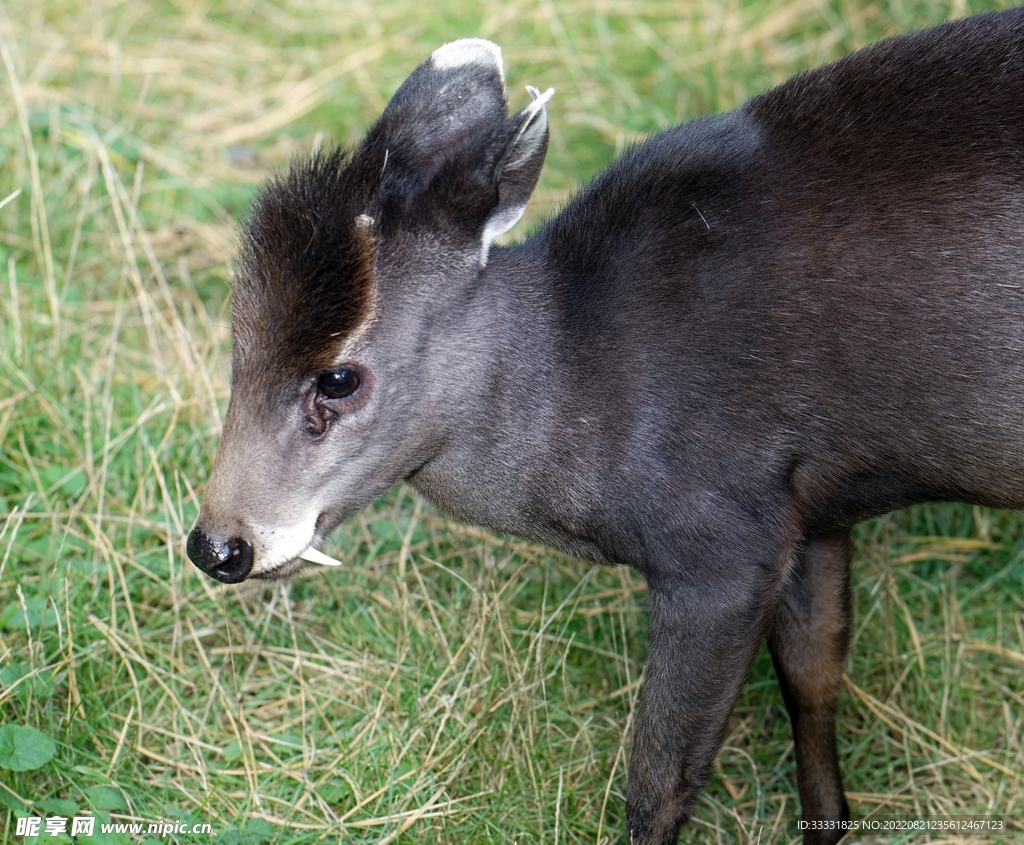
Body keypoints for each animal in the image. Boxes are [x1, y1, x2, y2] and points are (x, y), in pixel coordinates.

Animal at [187, 9, 1024, 843]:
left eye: (338, 378)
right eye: (237, 345)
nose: (217, 545)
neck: (587, 382)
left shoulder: (722, 540)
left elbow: (660, 779)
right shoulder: (811, 507)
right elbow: (812, 676)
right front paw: (830, 820)